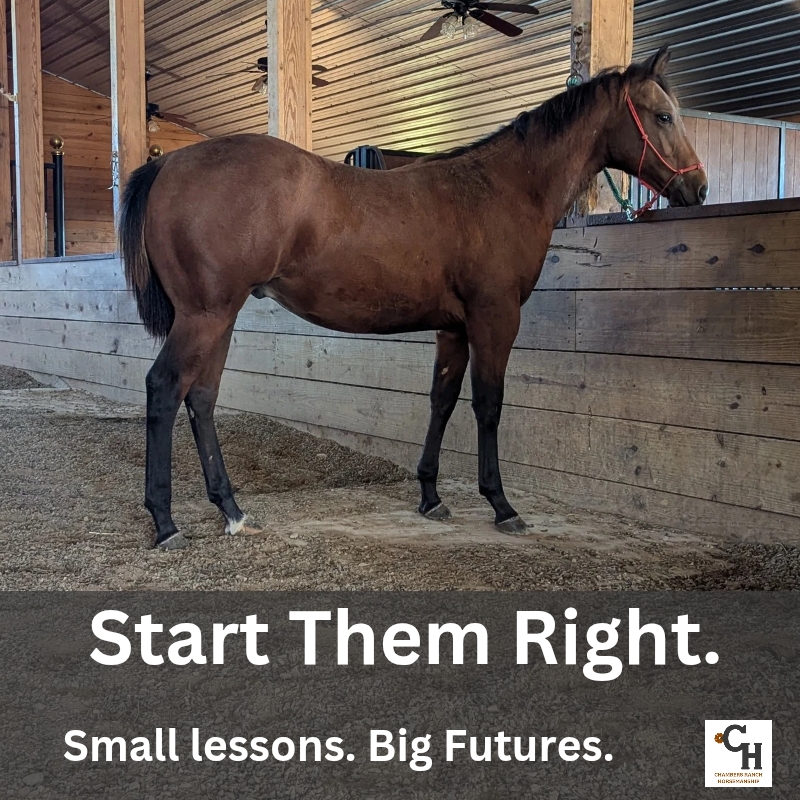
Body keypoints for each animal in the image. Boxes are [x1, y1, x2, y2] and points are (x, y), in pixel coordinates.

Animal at [119, 45, 707, 550]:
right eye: (663, 117)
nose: (698, 188)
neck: (503, 188)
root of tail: (167, 164)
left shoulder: (455, 326)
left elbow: (441, 400)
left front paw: (430, 496)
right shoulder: (495, 318)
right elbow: (488, 405)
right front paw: (501, 504)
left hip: (220, 317)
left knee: (201, 398)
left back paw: (233, 511)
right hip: (205, 315)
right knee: (165, 389)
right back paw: (166, 523)